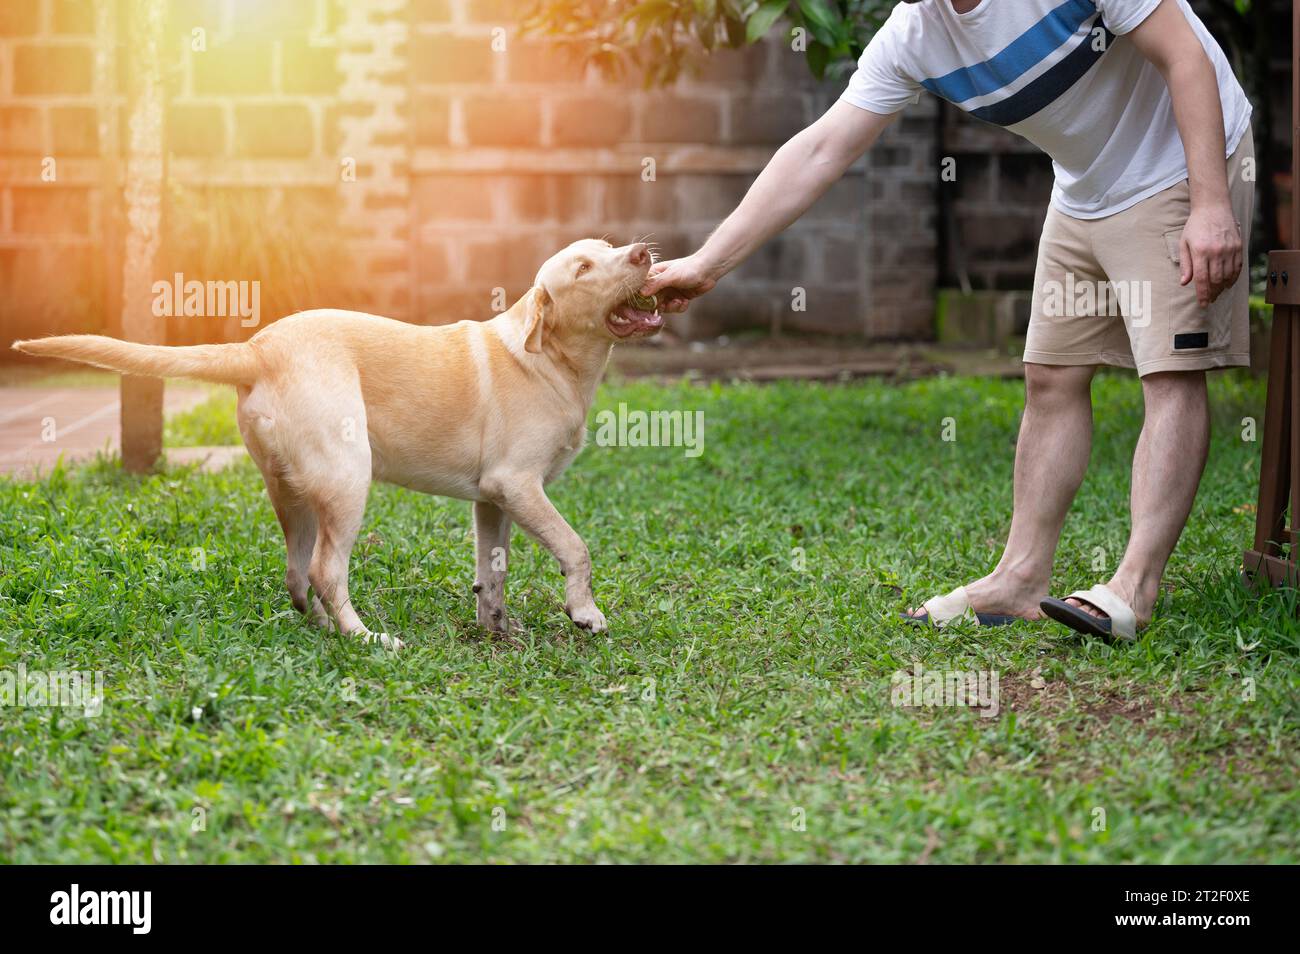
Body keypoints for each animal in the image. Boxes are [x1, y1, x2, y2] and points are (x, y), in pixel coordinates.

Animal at [10, 239, 660, 649]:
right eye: (584, 268)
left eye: (609, 248)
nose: (642, 253)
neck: (553, 358)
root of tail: (259, 348)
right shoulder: (517, 485)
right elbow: (576, 547)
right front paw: (585, 613)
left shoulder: (492, 499)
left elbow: (491, 571)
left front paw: (496, 628)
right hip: (349, 478)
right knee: (326, 569)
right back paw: (364, 637)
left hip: (293, 492)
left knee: (298, 574)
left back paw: (323, 629)